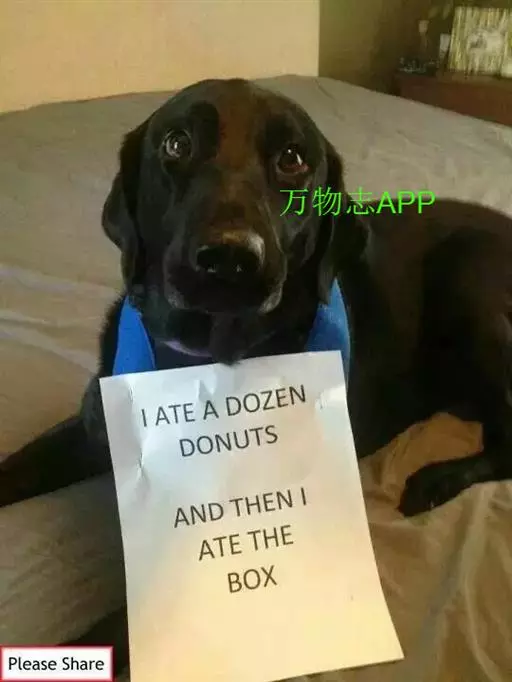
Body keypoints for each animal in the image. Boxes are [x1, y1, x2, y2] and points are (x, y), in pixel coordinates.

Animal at [1, 78, 511, 673]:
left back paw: (435, 481)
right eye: (176, 144)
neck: (203, 360)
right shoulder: (88, 430)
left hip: (468, 277)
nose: (229, 256)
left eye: (293, 159)